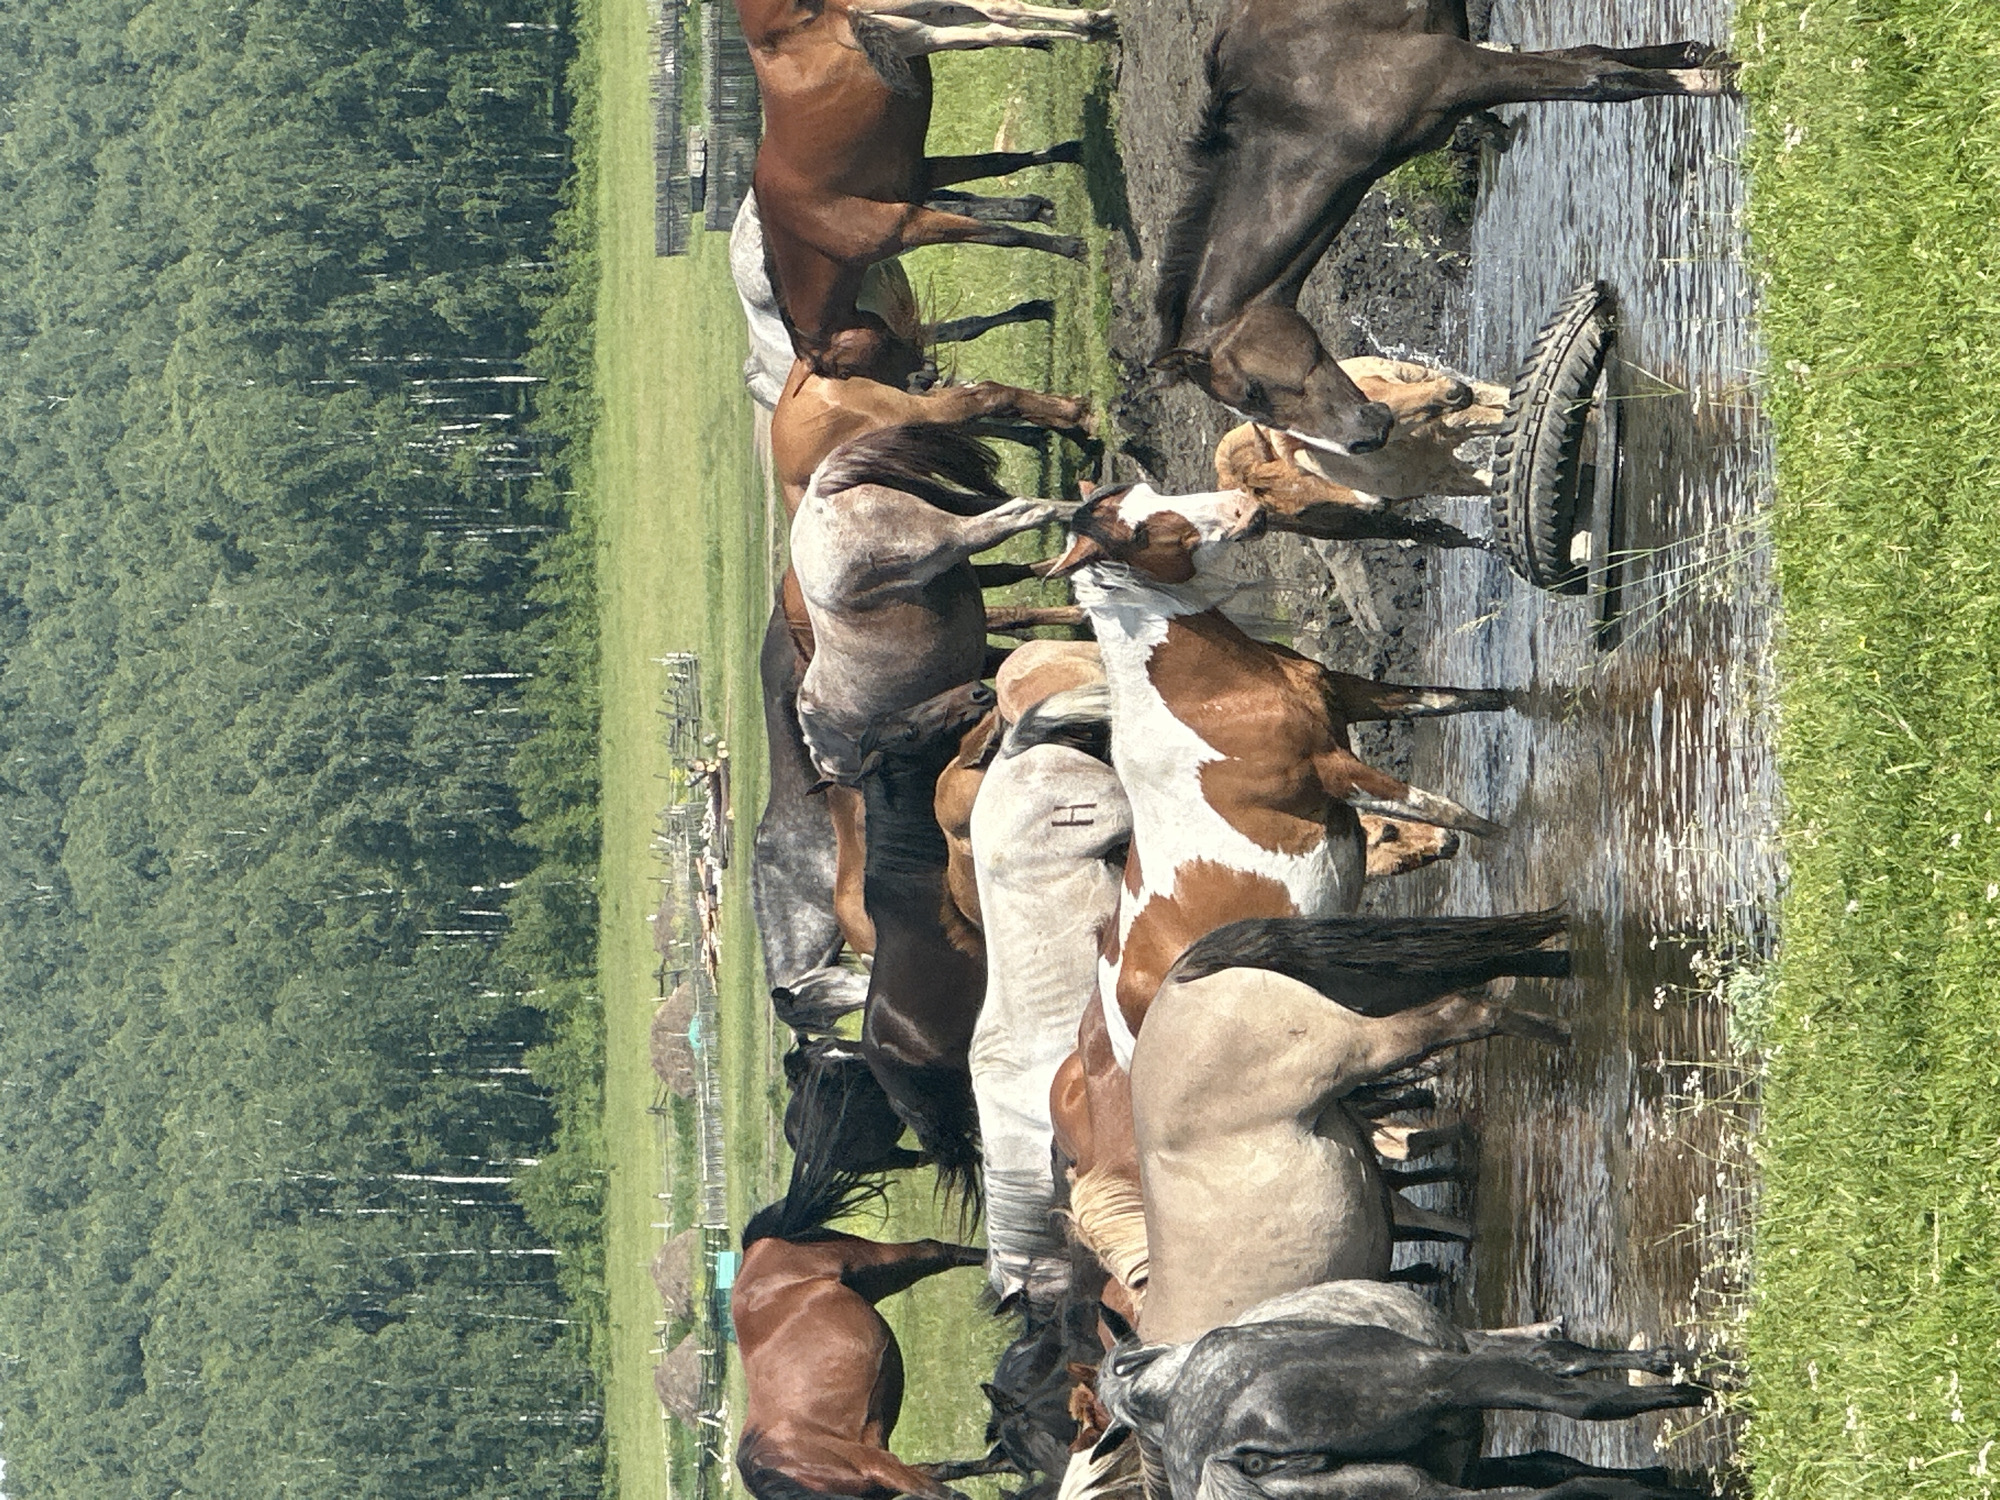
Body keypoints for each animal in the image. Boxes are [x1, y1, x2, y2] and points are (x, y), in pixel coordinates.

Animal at [739, 0, 1107, 370]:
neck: (809, 229)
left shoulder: (907, 224)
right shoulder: (922, 175)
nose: (924, 374)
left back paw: (1091, 24)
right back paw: (1083, 29)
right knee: (985, 26)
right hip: (910, 27)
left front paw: (1073, 247)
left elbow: (1002, 234)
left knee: (996, 13)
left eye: (845, 370)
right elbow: (999, 164)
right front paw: (1062, 170)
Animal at [1097, 1283, 1708, 1500]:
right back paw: (1699, 1396)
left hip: (1412, 1487)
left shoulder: (1460, 1463)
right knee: (1577, 1413)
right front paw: (1671, 1363)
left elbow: (1547, 1460)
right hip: (1444, 1382)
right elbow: (1565, 1363)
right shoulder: (1469, 1358)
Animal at [1131, 911, 1570, 1345]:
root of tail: (1178, 980)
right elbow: (1450, 1229)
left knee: (1464, 1012)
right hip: (1368, 992)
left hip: (1358, 1046)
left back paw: (1564, 1035)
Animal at [1152, 0, 1730, 451]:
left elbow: (1600, 80)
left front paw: (1710, 79)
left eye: (1254, 390)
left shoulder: (1461, 68)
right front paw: (1700, 56)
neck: (1302, 112)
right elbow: (1593, 57)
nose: (1363, 439)